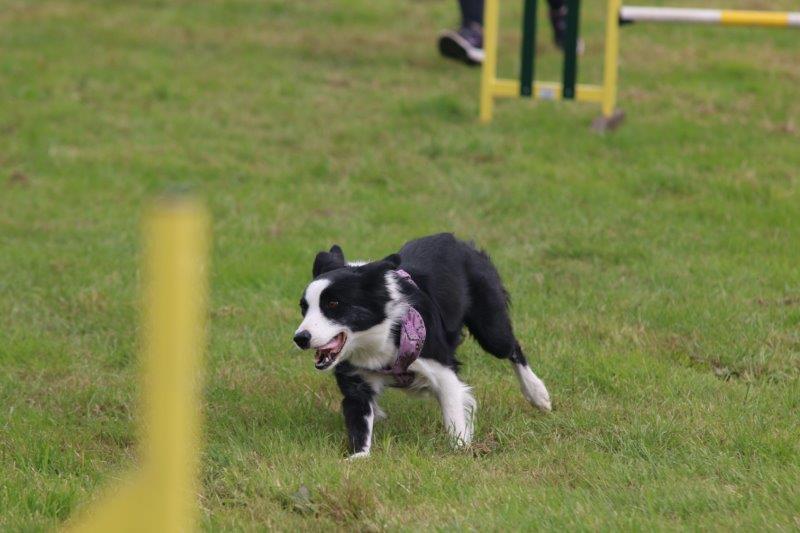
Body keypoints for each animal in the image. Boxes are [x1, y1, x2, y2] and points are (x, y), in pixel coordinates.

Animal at [293, 233, 551, 458]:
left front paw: (460, 450)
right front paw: (358, 457)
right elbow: (359, 420)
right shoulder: (356, 379)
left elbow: (453, 411)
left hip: (491, 326)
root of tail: (459, 242)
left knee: (512, 347)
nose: (300, 338)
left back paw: (537, 394)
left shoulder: (441, 367)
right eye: (304, 308)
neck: (378, 336)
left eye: (333, 304)